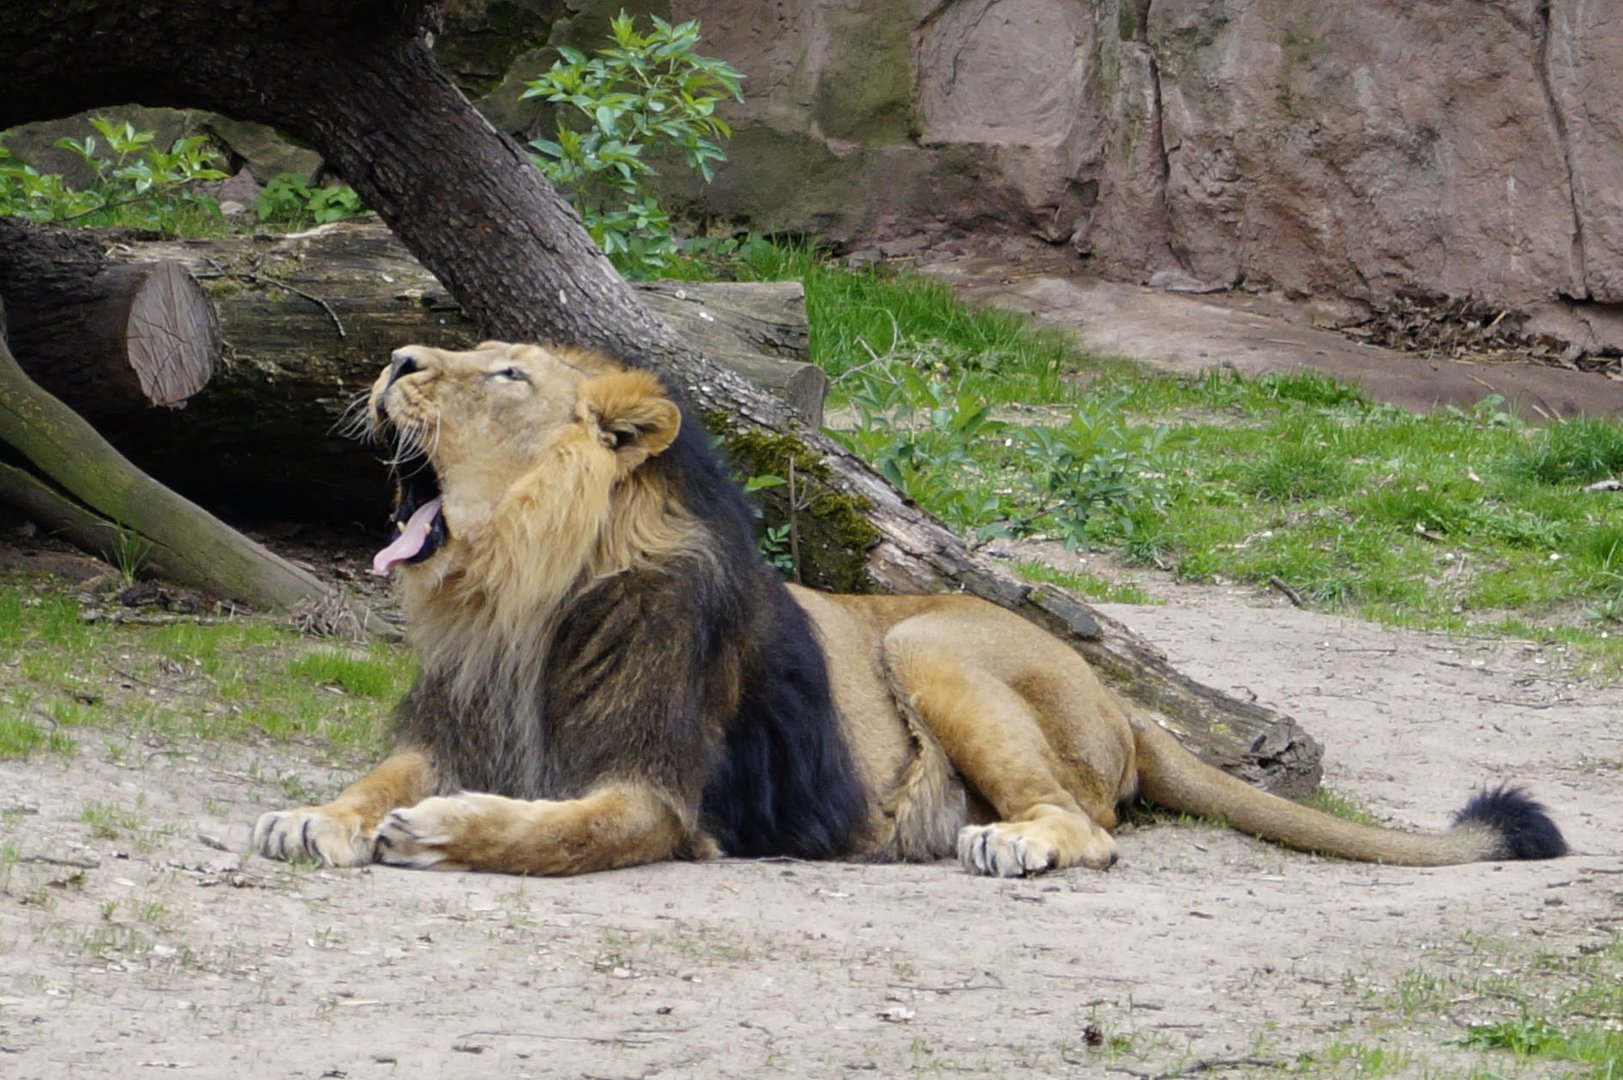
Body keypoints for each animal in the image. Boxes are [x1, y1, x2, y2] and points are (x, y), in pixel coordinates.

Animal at [249, 345, 1558, 876]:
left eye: (507, 371)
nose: (396, 360)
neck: (515, 593)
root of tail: (1130, 712)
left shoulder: (658, 793)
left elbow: (555, 831)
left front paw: (439, 834)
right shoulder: (447, 726)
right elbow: (375, 777)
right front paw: (313, 816)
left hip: (931, 638)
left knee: (1090, 826)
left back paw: (1014, 842)